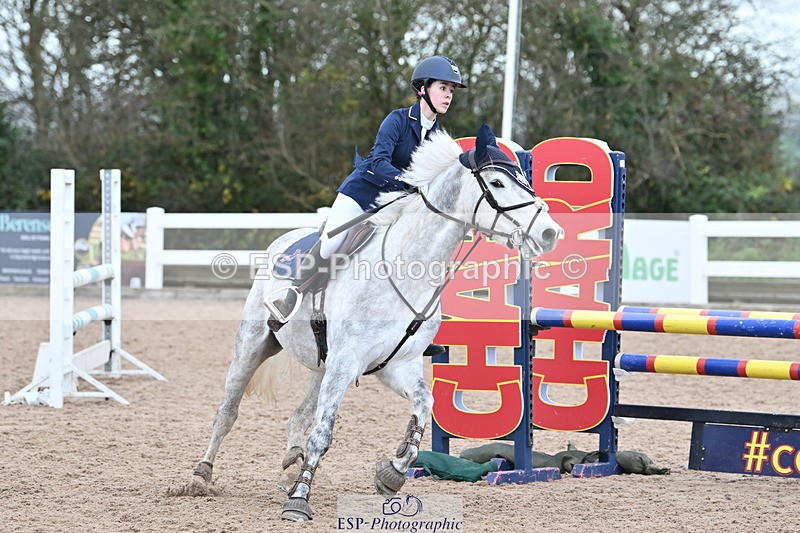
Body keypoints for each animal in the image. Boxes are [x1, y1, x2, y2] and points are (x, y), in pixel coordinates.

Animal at [186, 124, 563, 521]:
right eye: (497, 183)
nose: (550, 233)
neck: (406, 270)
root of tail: (285, 238)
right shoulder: (346, 363)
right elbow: (323, 434)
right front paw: (299, 500)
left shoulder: (396, 365)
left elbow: (423, 407)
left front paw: (391, 474)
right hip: (254, 345)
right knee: (228, 412)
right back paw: (200, 476)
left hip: (322, 364)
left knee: (299, 416)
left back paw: (290, 466)